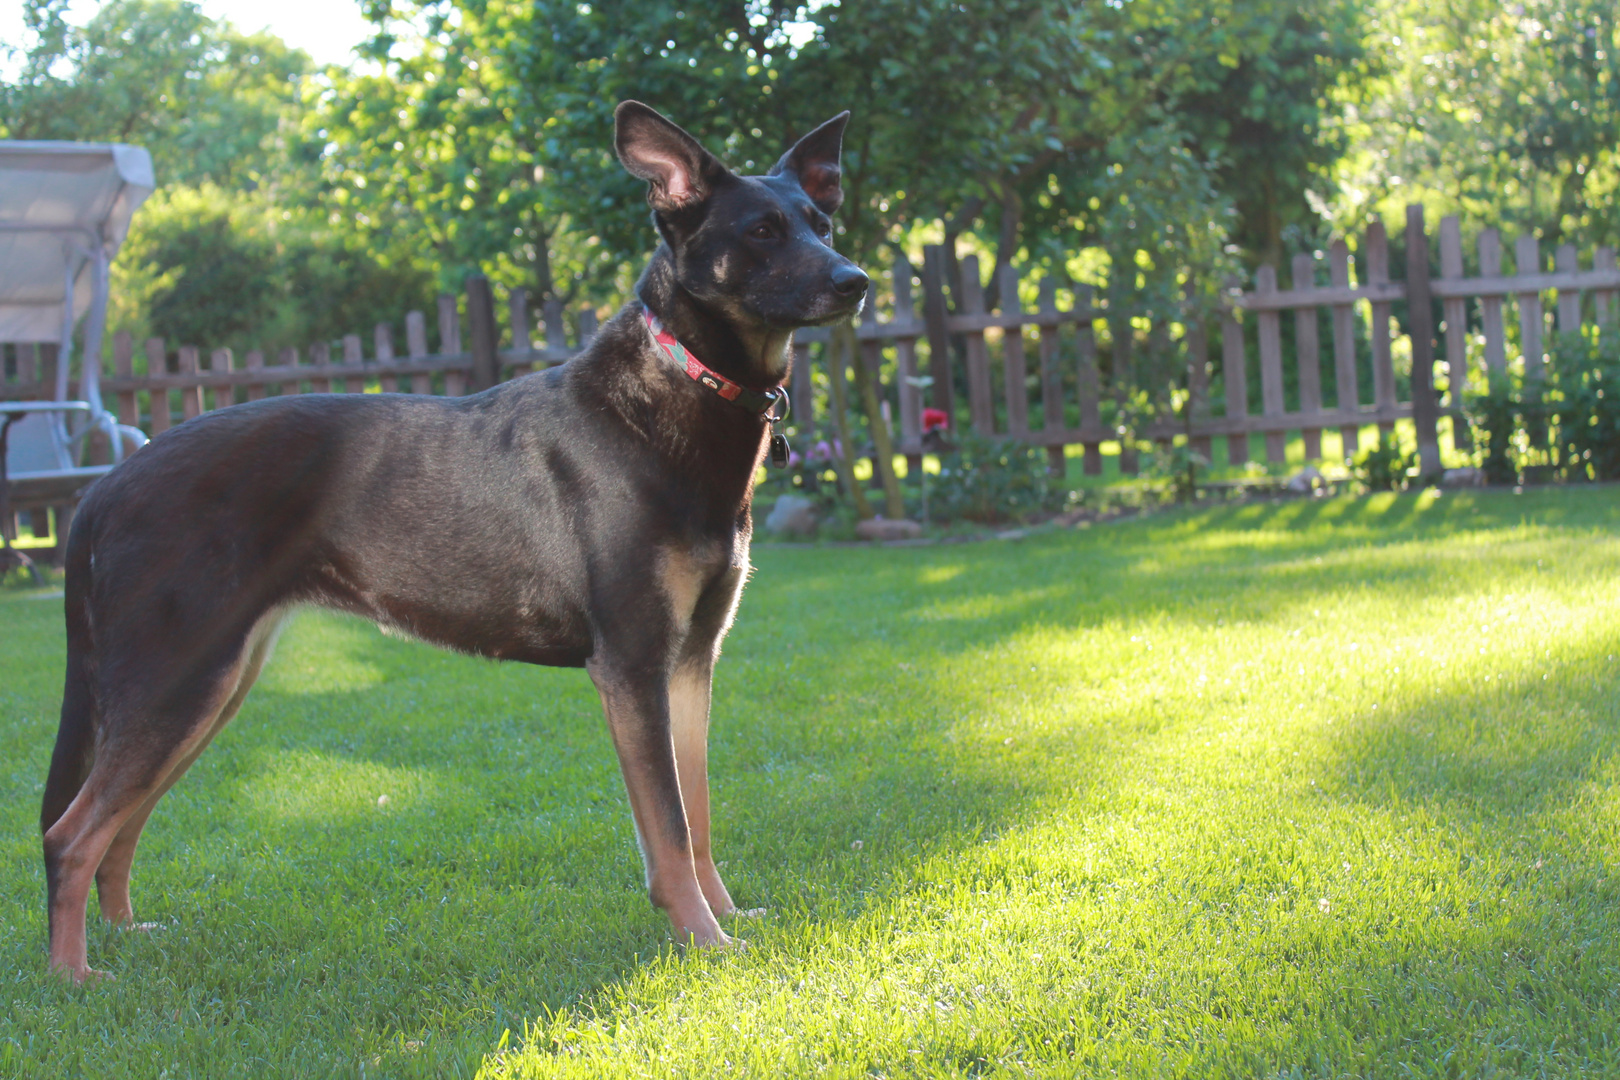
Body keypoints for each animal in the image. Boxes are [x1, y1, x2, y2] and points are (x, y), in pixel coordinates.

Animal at [41, 99, 874, 977]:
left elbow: (700, 815)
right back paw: (74, 979)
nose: (855, 281)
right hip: (177, 678)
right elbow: (670, 830)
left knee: (118, 827)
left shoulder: (691, 661)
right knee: (70, 835)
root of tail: (106, 485)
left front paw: (726, 918)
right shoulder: (632, 665)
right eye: (760, 231)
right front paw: (705, 941)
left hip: (210, 683)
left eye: (820, 222)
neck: (684, 386)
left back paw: (126, 936)